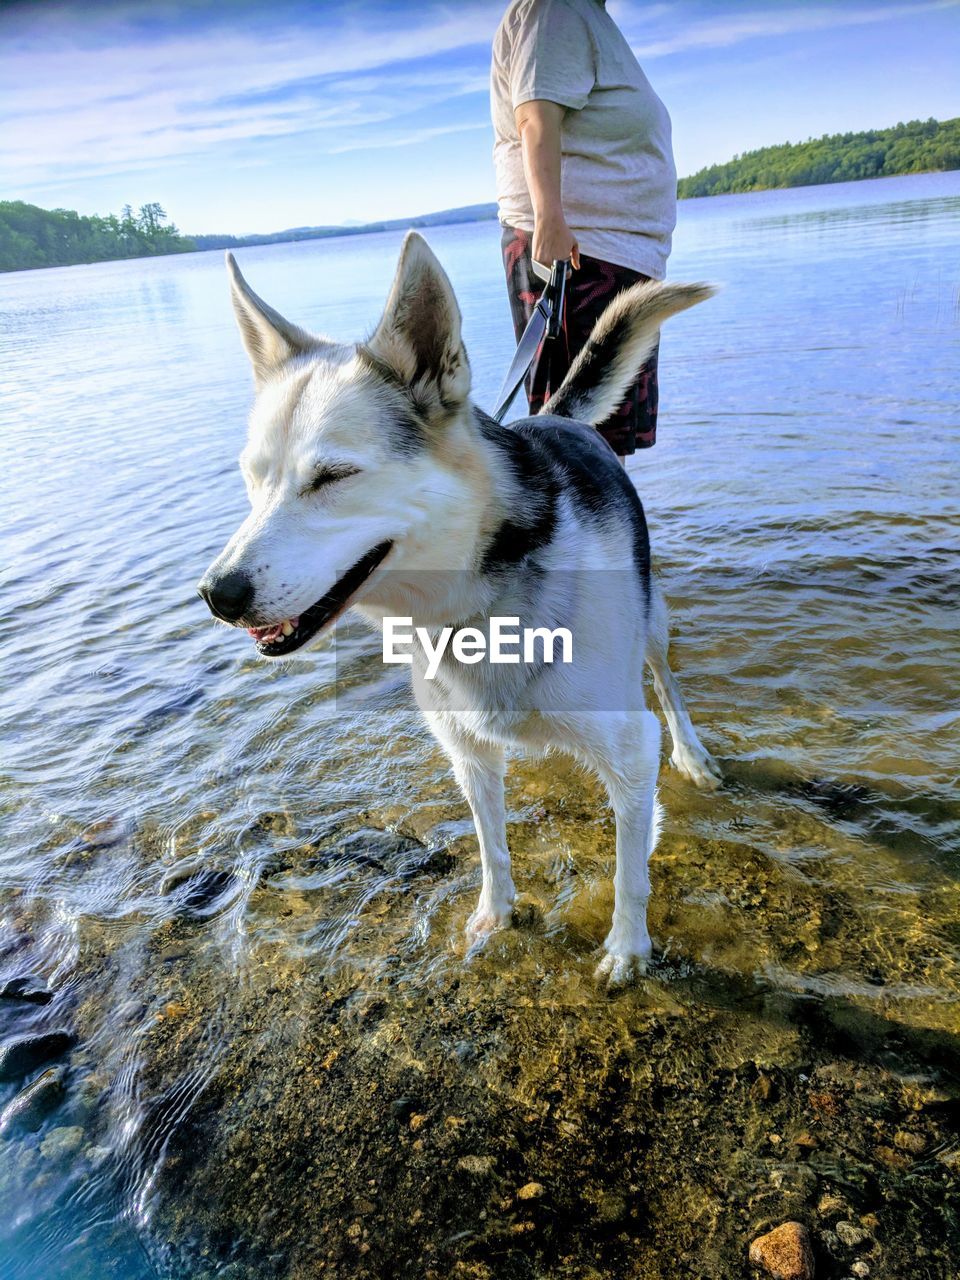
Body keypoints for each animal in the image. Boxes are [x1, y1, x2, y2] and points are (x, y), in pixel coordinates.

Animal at [199, 230, 716, 983]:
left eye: (333, 477)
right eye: (252, 477)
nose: (218, 595)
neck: (476, 604)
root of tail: (553, 415)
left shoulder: (627, 749)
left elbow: (630, 871)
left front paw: (626, 948)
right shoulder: (467, 753)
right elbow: (492, 846)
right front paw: (494, 918)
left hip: (652, 625)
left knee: (668, 684)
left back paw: (694, 753)